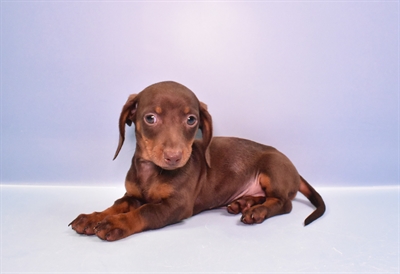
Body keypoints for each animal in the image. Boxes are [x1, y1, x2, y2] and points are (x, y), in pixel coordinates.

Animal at [69, 81, 324, 242]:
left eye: (191, 119)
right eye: (150, 118)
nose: (174, 157)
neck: (152, 171)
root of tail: (295, 171)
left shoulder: (177, 205)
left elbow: (145, 212)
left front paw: (117, 223)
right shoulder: (131, 195)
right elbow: (116, 205)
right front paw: (93, 217)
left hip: (272, 168)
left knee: (284, 203)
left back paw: (257, 211)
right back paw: (244, 203)